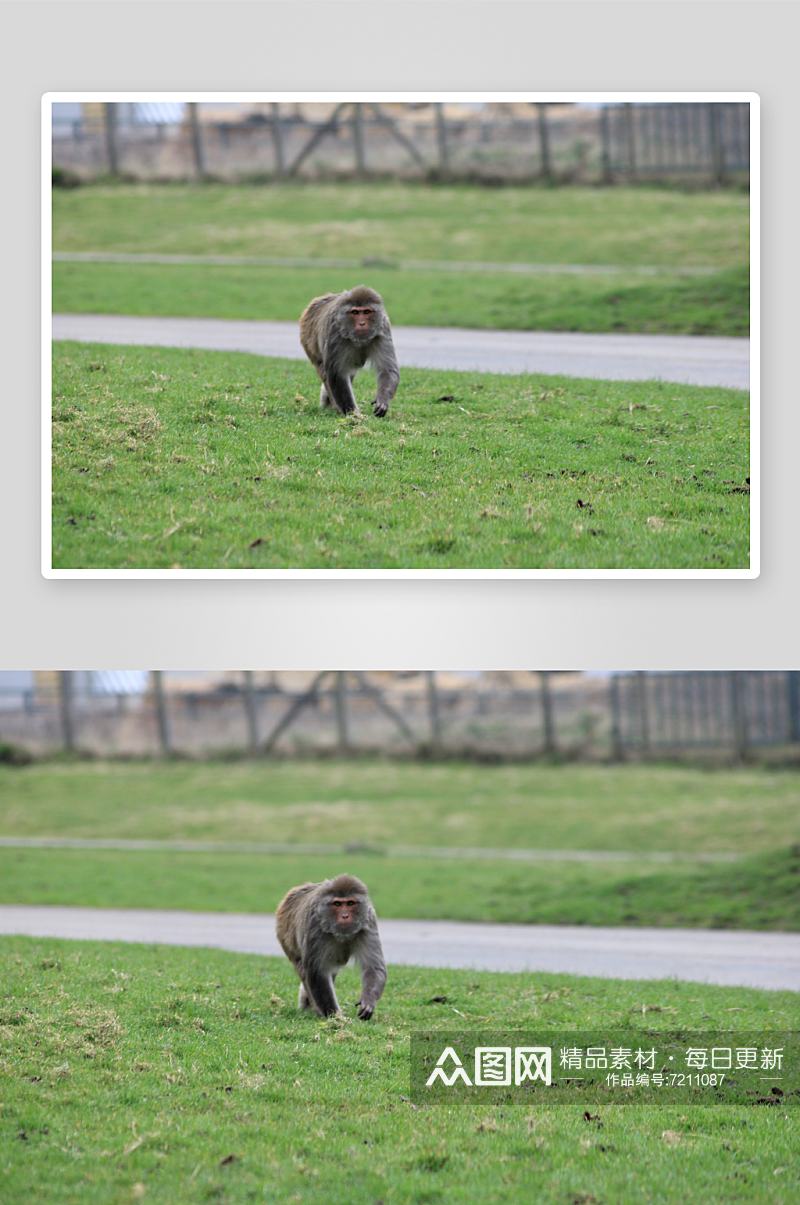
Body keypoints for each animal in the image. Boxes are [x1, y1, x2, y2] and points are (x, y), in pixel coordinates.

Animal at [274, 877, 387, 1017]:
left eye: (350, 903)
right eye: (337, 904)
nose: (345, 916)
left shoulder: (368, 923)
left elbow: (374, 967)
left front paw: (368, 1000)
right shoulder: (315, 928)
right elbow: (317, 973)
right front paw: (335, 1016)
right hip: (285, 934)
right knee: (303, 969)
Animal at [298, 285, 397, 419]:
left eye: (367, 312)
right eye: (355, 312)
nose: (362, 323)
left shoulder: (383, 330)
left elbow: (388, 369)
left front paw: (383, 400)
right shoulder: (335, 334)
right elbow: (337, 375)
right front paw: (353, 414)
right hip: (308, 339)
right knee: (325, 371)